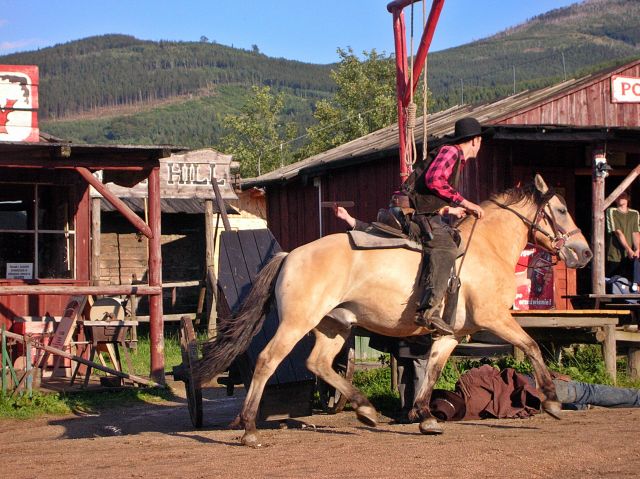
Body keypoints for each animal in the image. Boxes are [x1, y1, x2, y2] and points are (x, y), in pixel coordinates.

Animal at [198, 174, 592, 448]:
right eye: (560, 210)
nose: (584, 252)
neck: (486, 246)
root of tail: (290, 255)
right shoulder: (495, 318)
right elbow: (531, 346)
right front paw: (552, 401)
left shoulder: (452, 333)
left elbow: (432, 370)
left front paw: (424, 416)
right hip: (297, 323)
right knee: (267, 362)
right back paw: (250, 429)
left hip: (334, 326)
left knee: (318, 363)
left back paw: (366, 409)